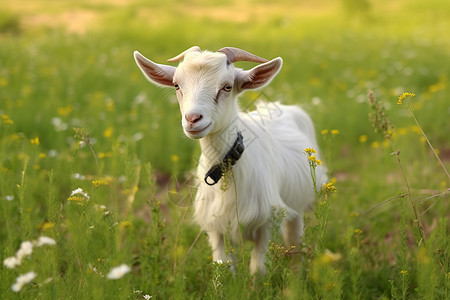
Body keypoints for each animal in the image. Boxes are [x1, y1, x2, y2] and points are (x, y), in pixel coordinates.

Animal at [134, 46, 326, 274]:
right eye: (177, 85)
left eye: (227, 87)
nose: (192, 119)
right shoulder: (216, 229)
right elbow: (222, 268)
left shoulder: (267, 223)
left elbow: (258, 271)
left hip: (298, 206)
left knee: (296, 242)